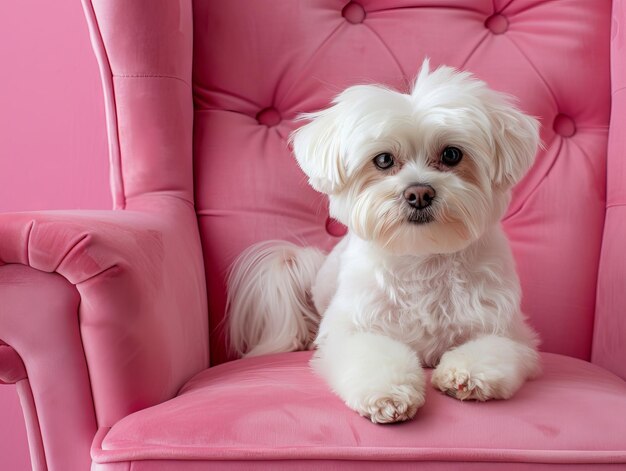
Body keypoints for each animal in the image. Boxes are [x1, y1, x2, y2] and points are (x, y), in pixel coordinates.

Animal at [227, 60, 540, 426]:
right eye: (383, 160)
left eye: (451, 154)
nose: (419, 193)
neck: (422, 256)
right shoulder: (353, 327)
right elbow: (372, 355)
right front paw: (389, 393)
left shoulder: (505, 329)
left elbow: (493, 347)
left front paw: (465, 374)